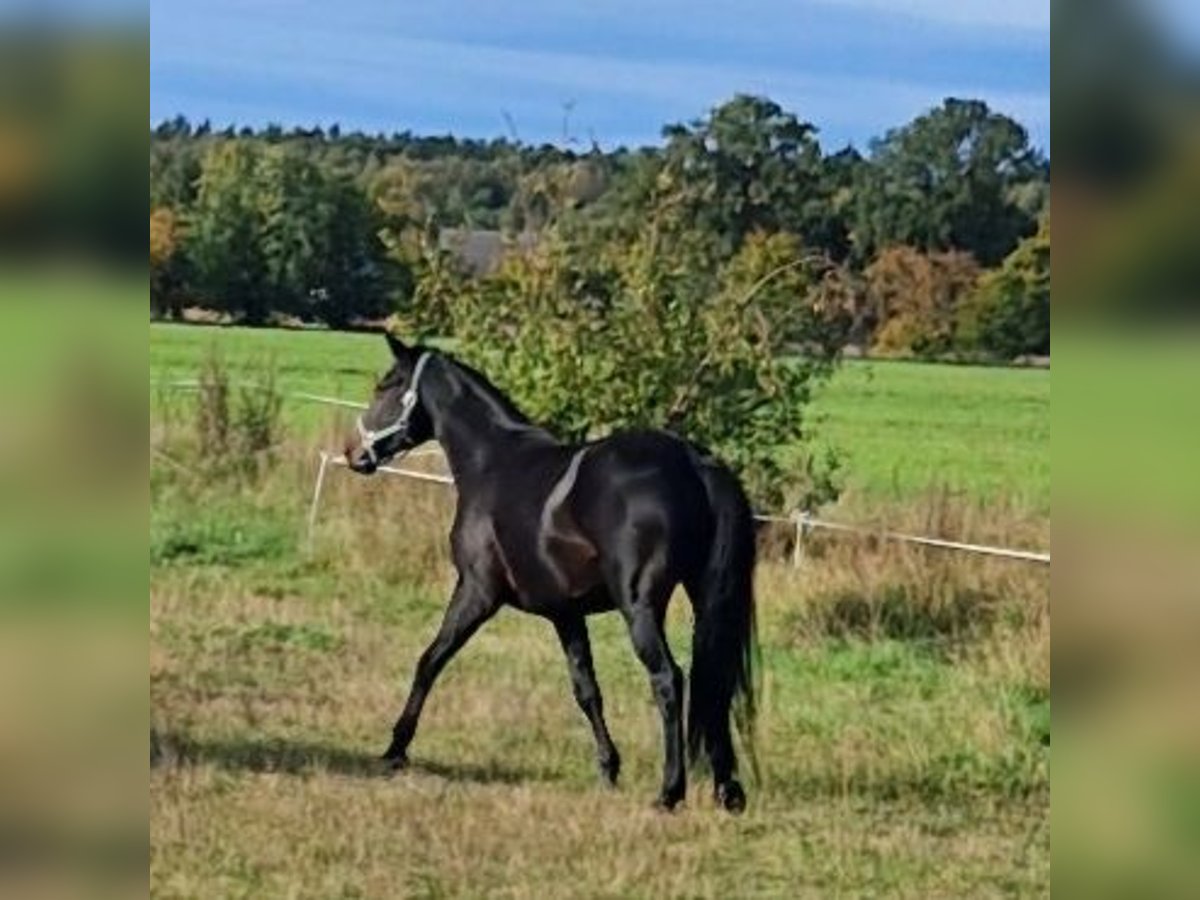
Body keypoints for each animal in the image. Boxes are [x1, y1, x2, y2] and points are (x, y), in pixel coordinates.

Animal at [348, 336, 758, 816]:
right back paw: (728, 790)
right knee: (715, 684)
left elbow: (431, 660)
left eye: (386, 385)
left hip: (640, 607)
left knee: (669, 680)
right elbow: (586, 689)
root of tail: (696, 464)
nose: (353, 453)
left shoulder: (476, 592)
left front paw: (395, 747)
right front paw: (608, 767)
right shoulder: (566, 613)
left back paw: (669, 792)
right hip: (705, 598)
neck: (493, 462)